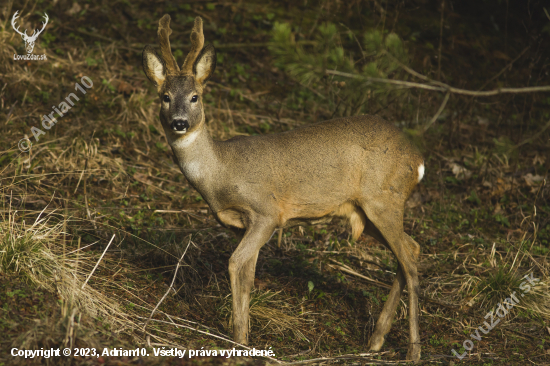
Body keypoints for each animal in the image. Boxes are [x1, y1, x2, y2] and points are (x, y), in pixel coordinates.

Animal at [142, 15, 426, 364]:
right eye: (165, 96)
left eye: (196, 96)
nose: (179, 122)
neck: (221, 172)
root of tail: (418, 160)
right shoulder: (241, 225)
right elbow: (247, 276)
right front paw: (245, 339)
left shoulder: (267, 212)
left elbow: (234, 264)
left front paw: (237, 346)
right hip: (365, 212)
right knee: (411, 249)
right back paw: (375, 340)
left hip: (383, 199)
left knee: (409, 262)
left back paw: (413, 350)